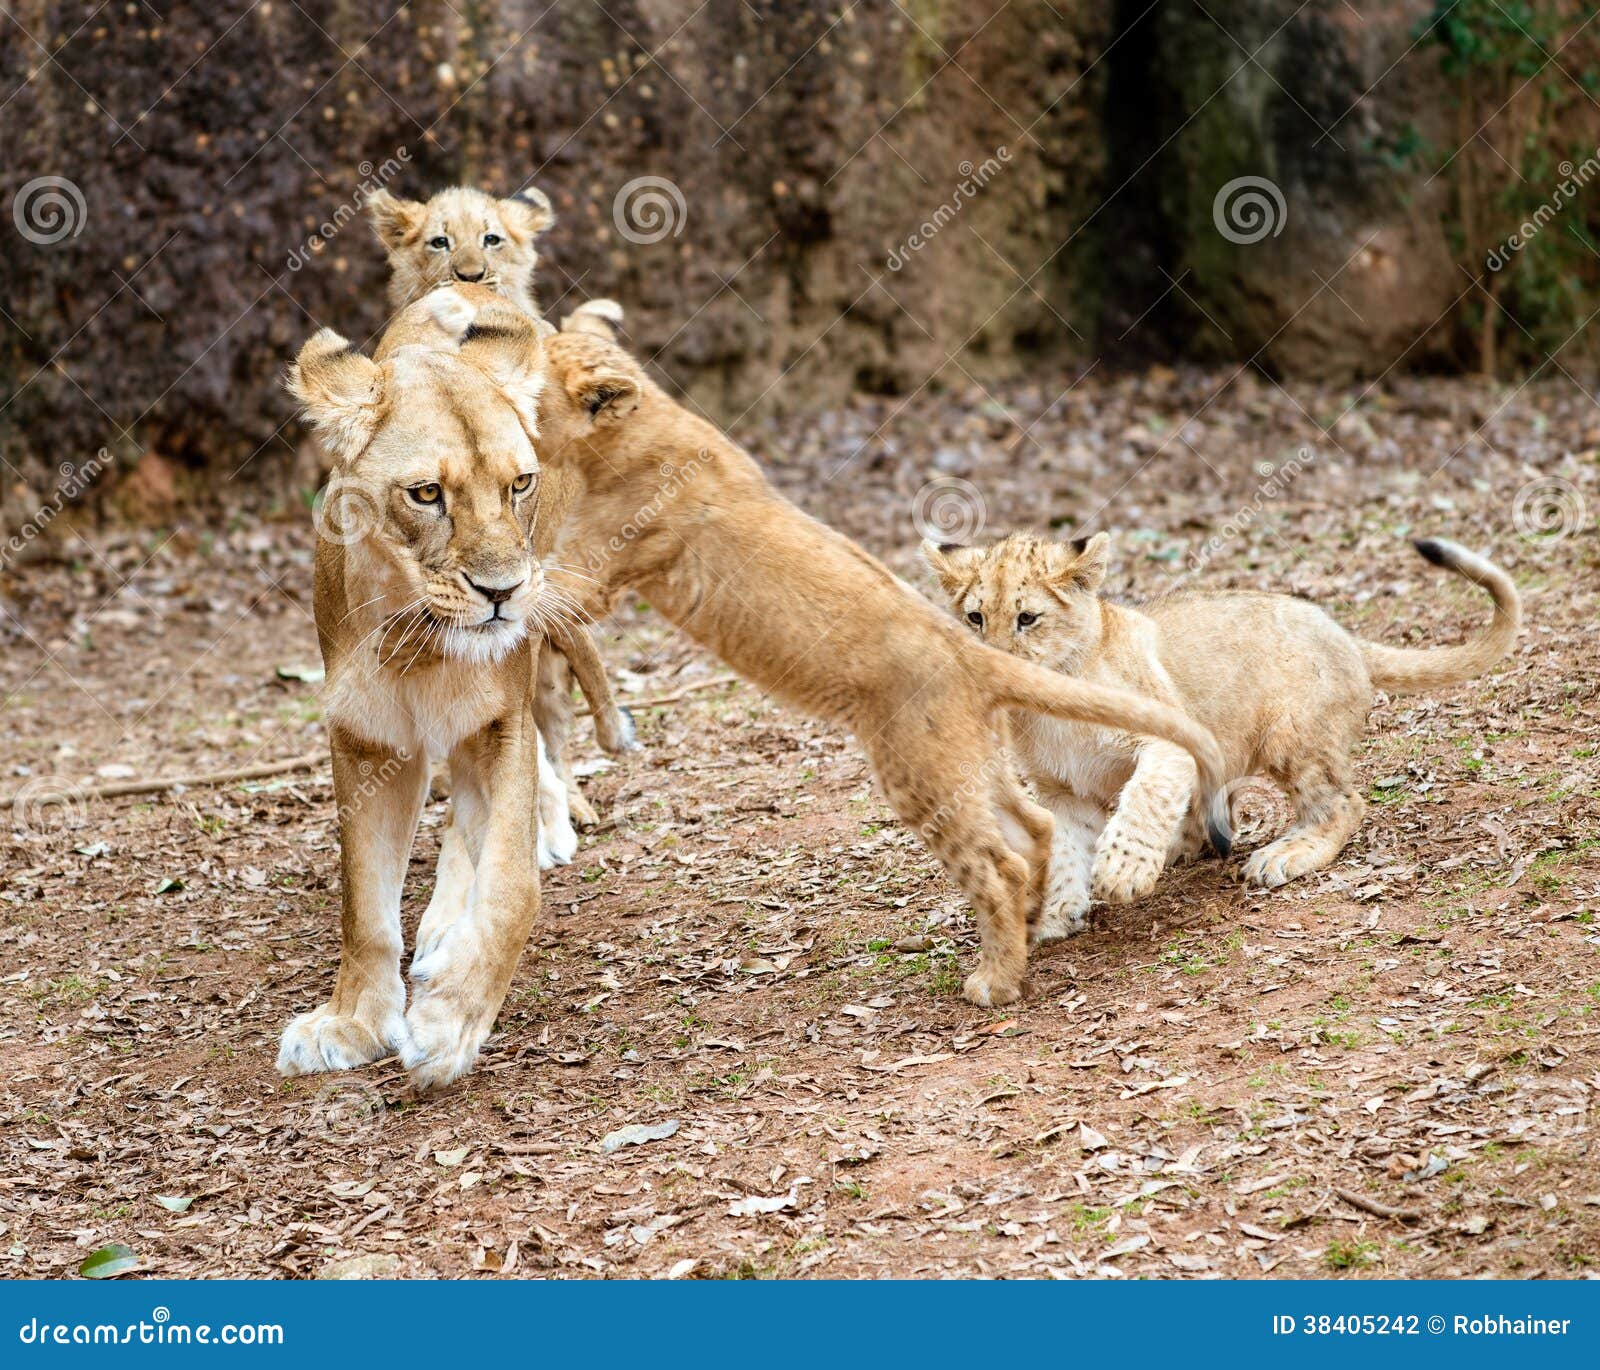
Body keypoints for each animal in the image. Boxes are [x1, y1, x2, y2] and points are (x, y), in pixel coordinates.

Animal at [276, 288, 564, 1091]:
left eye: (519, 484)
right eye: (427, 493)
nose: (503, 592)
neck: (420, 647)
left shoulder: (502, 723)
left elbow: (509, 887)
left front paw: (448, 1023)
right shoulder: (366, 742)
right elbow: (363, 905)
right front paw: (351, 1021)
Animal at [411, 285, 1234, 1008]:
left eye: (527, 367)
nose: (471, 342)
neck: (643, 425)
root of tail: (971, 650)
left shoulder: (600, 569)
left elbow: (542, 610)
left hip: (915, 767)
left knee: (995, 861)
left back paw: (995, 981)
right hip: (964, 756)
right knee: (1034, 828)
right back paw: (1036, 924)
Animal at [923, 531, 1521, 934]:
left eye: (1027, 618)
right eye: (975, 617)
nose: (990, 662)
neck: (1048, 707)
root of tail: (1345, 635)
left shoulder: (1168, 739)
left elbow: (1143, 797)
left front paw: (1121, 872)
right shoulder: (1061, 792)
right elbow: (1069, 848)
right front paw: (1058, 913)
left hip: (1291, 737)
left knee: (1343, 804)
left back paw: (1284, 854)